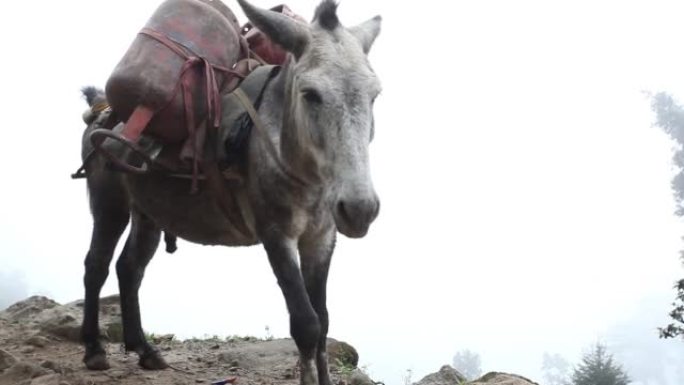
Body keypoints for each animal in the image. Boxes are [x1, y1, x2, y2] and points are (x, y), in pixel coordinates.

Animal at [79, 0, 384, 384]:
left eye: (375, 95)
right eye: (311, 94)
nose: (360, 210)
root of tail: (101, 109)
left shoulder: (321, 238)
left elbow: (324, 321)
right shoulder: (275, 234)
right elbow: (306, 325)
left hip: (147, 212)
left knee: (129, 268)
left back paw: (145, 350)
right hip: (109, 203)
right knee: (96, 265)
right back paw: (94, 350)